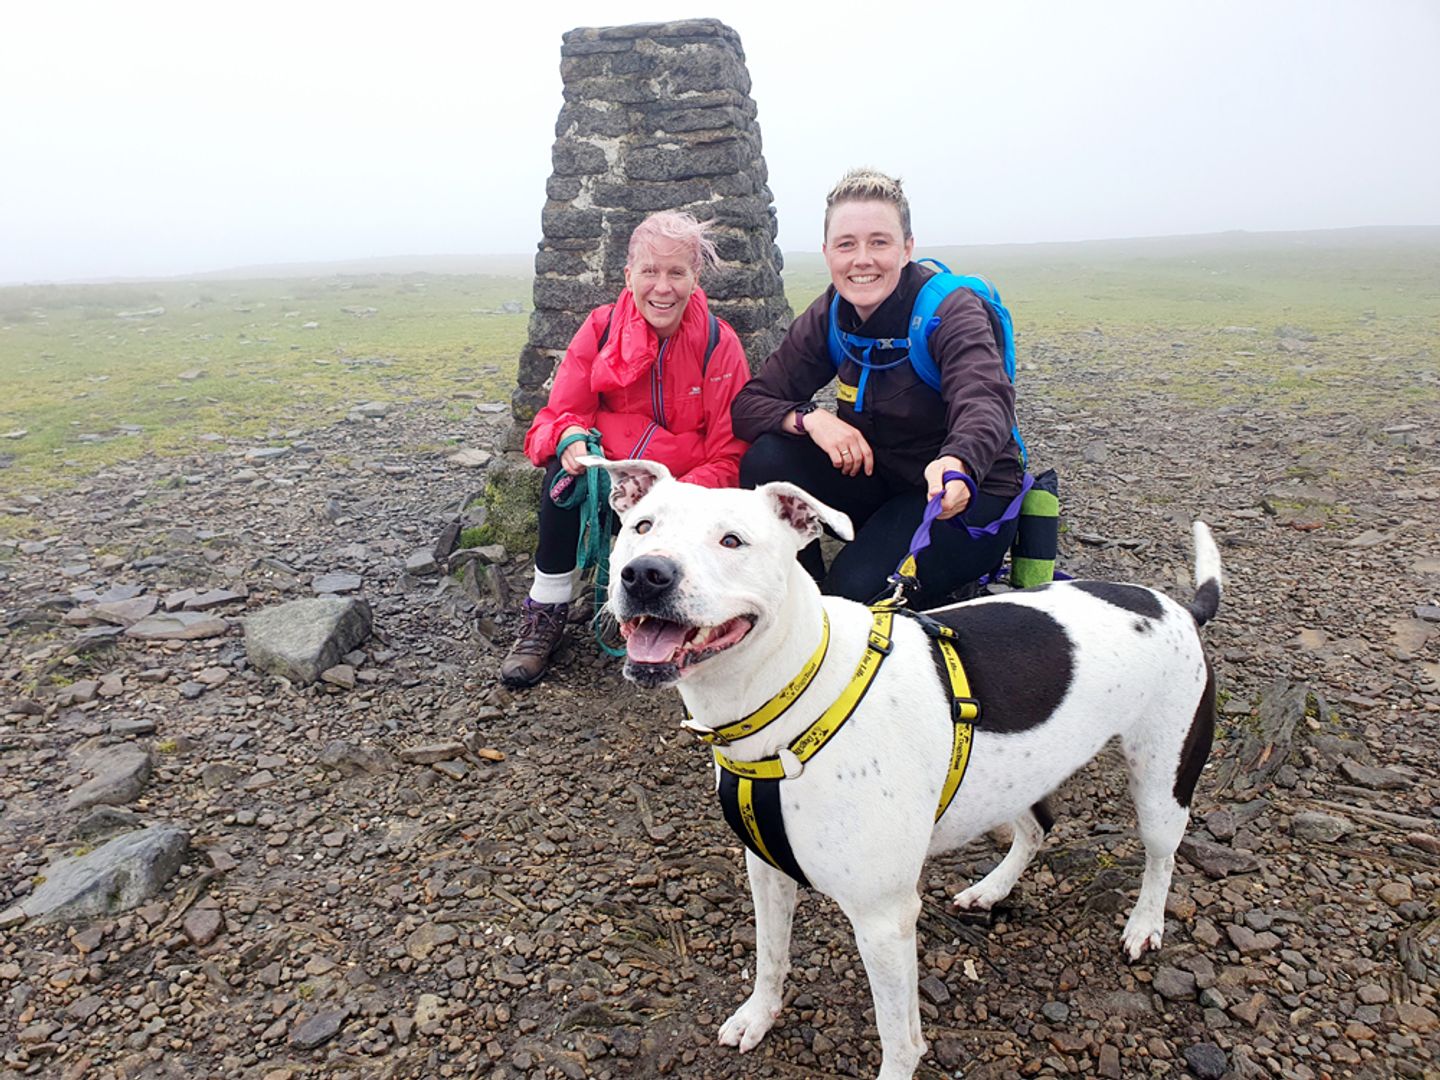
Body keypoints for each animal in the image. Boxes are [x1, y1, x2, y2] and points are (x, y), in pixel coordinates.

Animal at [590, 457, 1221, 1080]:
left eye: (731, 540)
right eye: (641, 527)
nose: (646, 574)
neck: (792, 701)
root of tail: (1179, 607)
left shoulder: (883, 918)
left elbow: (898, 1035)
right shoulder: (766, 871)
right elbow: (771, 956)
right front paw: (758, 1016)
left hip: (1162, 783)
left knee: (1161, 858)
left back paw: (1144, 926)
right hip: (1021, 777)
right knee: (1038, 825)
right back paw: (991, 889)